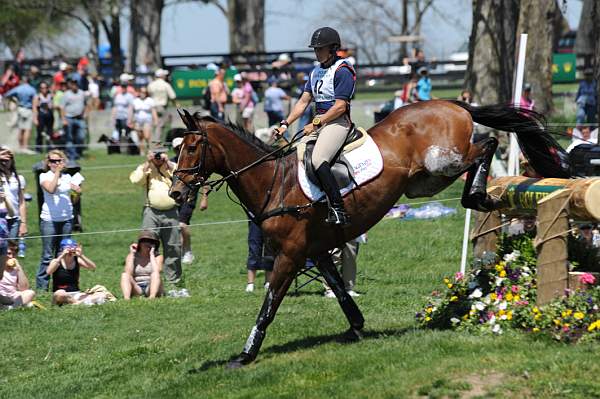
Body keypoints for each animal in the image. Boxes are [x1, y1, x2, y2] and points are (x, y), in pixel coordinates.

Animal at [170, 100, 572, 368]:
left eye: (192, 148)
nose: (175, 193)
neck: (274, 183)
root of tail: (450, 102)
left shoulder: (289, 255)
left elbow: (268, 306)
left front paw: (246, 354)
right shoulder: (316, 251)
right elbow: (340, 291)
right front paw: (357, 326)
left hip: (442, 162)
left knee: (486, 146)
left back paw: (477, 194)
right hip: (423, 182)